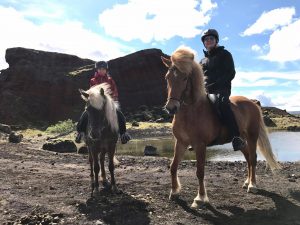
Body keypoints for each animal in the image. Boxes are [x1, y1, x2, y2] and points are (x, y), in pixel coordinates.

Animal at [162, 46, 282, 208]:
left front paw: (200, 198)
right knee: (248, 158)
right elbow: (173, 166)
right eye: (167, 77)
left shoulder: (200, 145)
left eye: (185, 78)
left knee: (253, 158)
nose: (171, 108)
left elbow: (200, 171)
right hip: (241, 140)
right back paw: (246, 182)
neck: (192, 110)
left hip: (252, 136)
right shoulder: (181, 142)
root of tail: (252, 102)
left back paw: (252, 185)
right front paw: (174, 192)